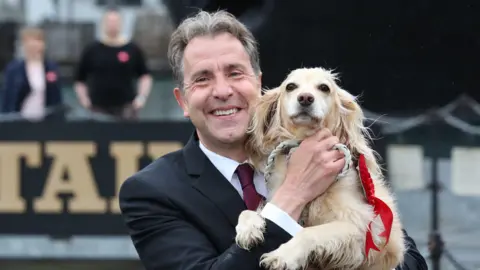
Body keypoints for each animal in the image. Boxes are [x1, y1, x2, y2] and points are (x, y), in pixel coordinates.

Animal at [235, 67, 404, 270]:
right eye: (290, 86)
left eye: (324, 88)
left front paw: (282, 255)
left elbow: (308, 233)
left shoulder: (361, 229)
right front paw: (248, 228)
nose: (305, 98)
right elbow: (250, 211)